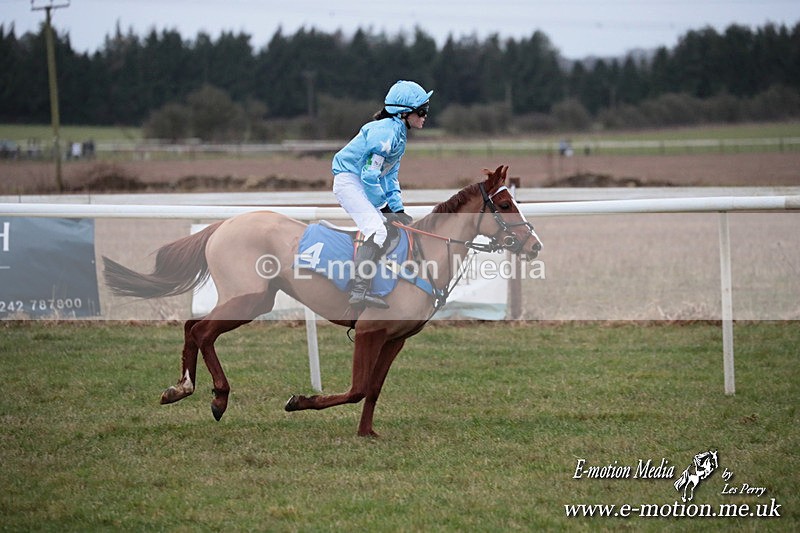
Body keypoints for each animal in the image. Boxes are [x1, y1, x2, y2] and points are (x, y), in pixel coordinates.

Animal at [103, 165, 542, 437]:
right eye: (506, 205)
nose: (535, 245)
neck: (423, 257)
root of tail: (224, 224)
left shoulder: (396, 339)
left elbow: (374, 388)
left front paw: (367, 432)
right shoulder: (369, 331)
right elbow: (357, 388)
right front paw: (299, 401)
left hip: (252, 300)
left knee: (193, 327)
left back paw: (181, 388)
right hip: (249, 299)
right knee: (202, 330)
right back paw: (214, 395)